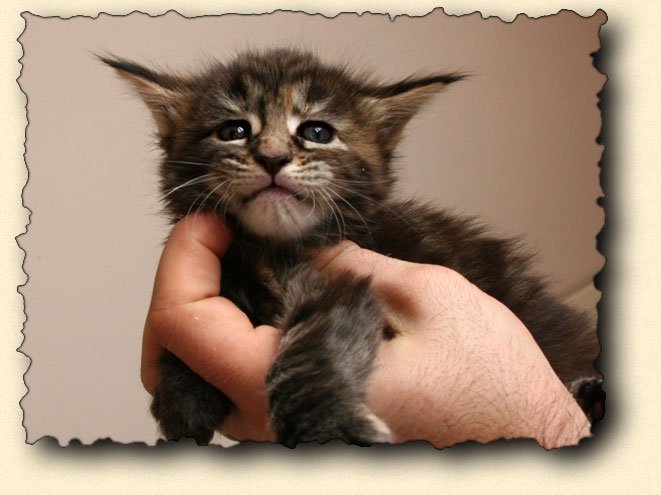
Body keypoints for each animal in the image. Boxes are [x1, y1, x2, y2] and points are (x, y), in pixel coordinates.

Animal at [102, 48, 604, 447]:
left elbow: (306, 355)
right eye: (233, 131)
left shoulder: (347, 285)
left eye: (317, 133)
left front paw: (327, 428)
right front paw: (180, 391)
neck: (271, 247)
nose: (272, 158)